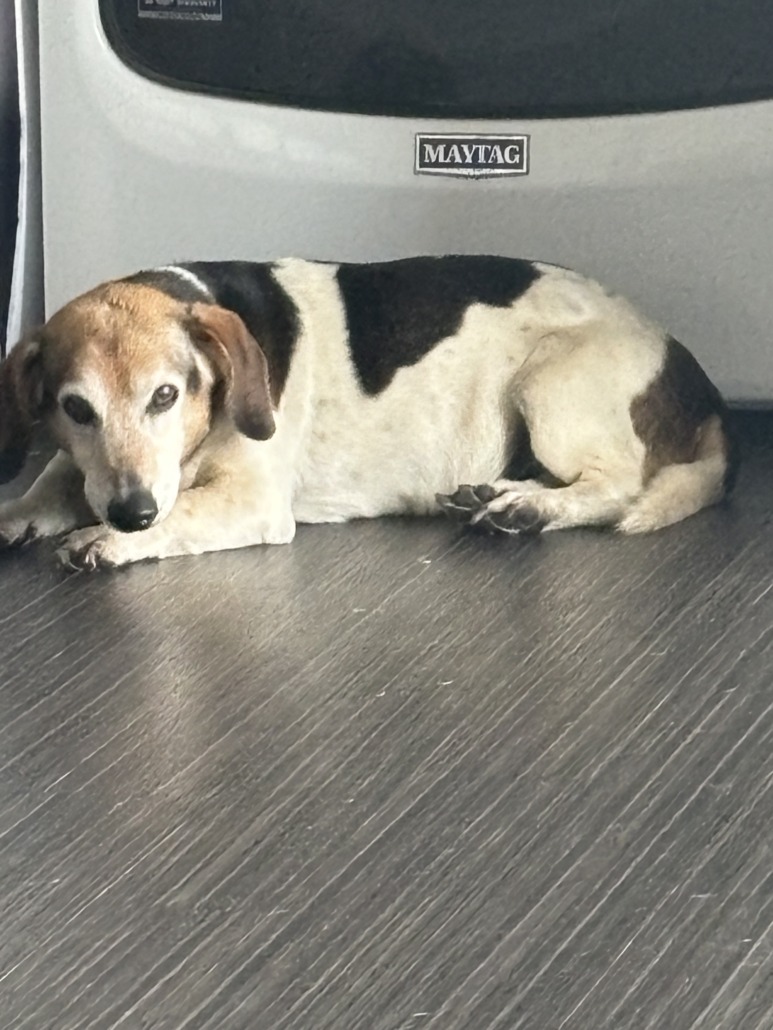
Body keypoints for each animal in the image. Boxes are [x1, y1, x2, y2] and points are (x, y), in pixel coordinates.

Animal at [0, 256, 737, 570]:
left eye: (165, 395)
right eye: (75, 407)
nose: (130, 514)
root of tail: (694, 377)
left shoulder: (252, 502)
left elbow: (178, 514)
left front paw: (108, 540)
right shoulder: (92, 466)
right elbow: (54, 479)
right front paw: (21, 512)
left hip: (549, 382)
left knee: (616, 486)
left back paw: (525, 508)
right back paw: (496, 493)